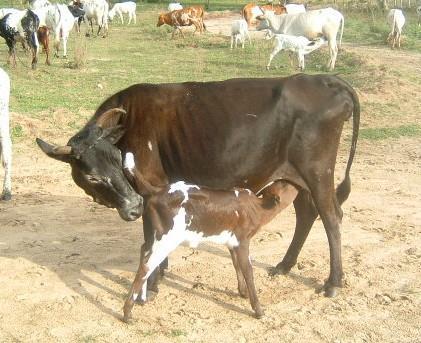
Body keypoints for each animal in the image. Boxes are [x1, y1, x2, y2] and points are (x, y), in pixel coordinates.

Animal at [36, 73, 360, 300]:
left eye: (118, 159)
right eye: (92, 175)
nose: (132, 207)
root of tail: (323, 78)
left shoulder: (152, 188)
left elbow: (150, 236)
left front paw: (152, 283)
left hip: (317, 171)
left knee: (331, 217)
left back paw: (333, 283)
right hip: (297, 176)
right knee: (306, 214)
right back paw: (284, 265)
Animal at [121, 175, 298, 322]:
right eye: (285, 184)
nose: (296, 183)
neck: (257, 207)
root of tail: (158, 190)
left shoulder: (232, 242)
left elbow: (237, 265)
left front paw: (243, 292)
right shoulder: (242, 240)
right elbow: (248, 270)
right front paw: (258, 309)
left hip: (155, 235)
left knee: (143, 250)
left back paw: (141, 298)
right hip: (167, 238)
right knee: (146, 265)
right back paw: (127, 313)